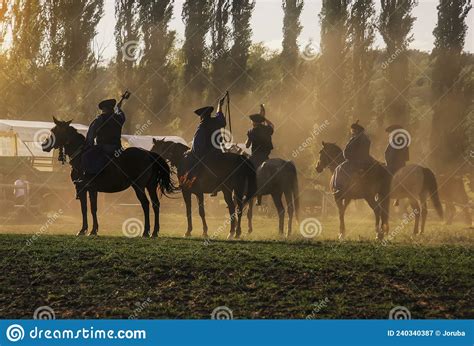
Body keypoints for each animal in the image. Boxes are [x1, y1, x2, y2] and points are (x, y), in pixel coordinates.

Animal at [41, 118, 175, 238]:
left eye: (54, 131)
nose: (44, 145)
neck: (80, 155)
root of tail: (149, 154)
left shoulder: (85, 188)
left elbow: (88, 208)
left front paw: (87, 230)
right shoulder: (89, 189)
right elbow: (89, 208)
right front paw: (89, 230)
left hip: (139, 187)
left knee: (145, 204)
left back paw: (146, 232)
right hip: (150, 186)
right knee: (155, 204)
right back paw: (154, 232)